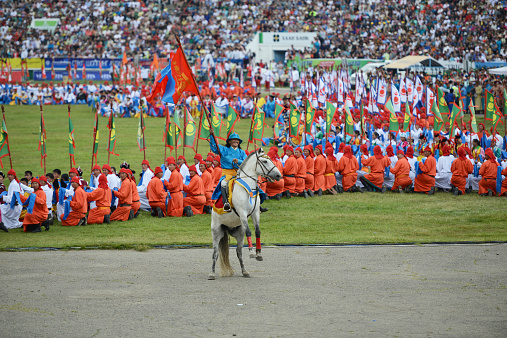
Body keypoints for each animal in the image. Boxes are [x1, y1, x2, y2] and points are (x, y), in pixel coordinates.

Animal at [209, 148, 282, 280]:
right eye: (265, 161)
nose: (278, 175)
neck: (248, 189)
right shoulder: (243, 214)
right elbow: (249, 231)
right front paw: (252, 253)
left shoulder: (255, 214)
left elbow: (257, 231)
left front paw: (258, 254)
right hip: (216, 232)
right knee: (215, 253)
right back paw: (211, 273)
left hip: (239, 234)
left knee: (239, 252)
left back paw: (245, 271)